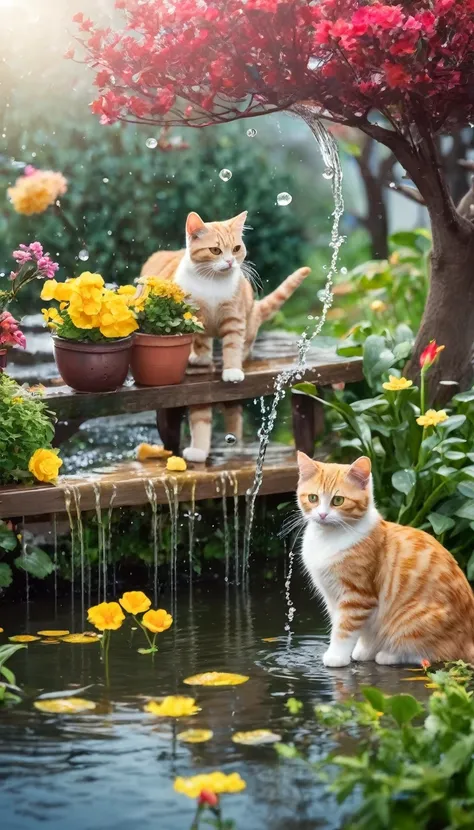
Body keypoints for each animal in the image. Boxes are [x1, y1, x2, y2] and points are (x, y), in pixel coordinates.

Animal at [141, 211, 312, 464]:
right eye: (215, 250)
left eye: (237, 248)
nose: (231, 262)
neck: (212, 283)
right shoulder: (196, 318)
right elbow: (200, 343)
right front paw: (201, 358)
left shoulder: (234, 317)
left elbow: (232, 344)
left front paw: (232, 370)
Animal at [298, 452, 474, 672]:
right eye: (313, 498)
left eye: (338, 500)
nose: (322, 515)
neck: (328, 538)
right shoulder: (333, 597)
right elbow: (360, 631)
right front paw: (362, 651)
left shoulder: (357, 597)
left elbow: (344, 630)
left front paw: (336, 656)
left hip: (414, 620)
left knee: (432, 654)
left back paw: (389, 655)